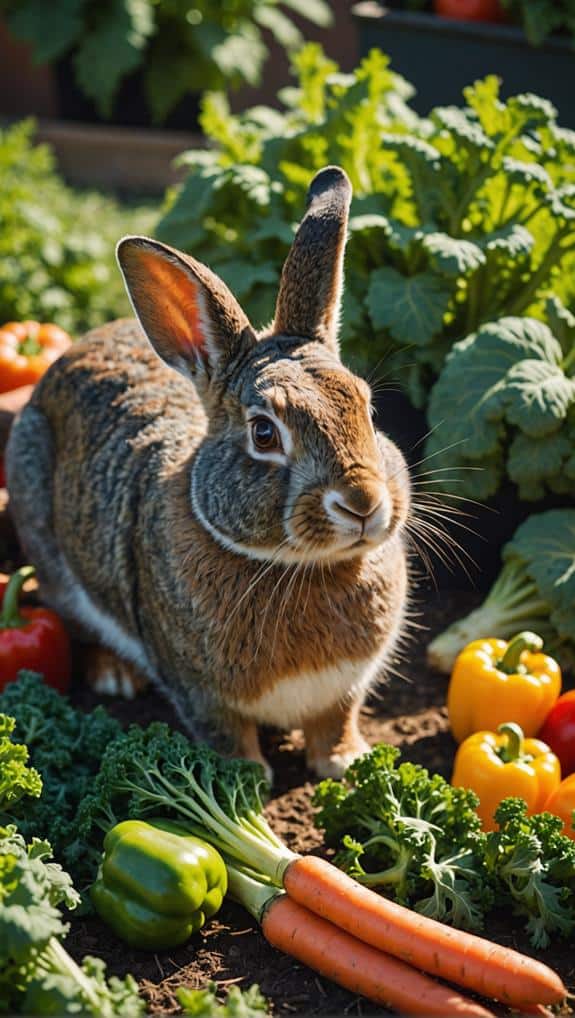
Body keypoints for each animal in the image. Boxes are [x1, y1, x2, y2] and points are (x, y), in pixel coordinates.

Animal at [6, 165, 410, 779]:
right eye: (264, 433)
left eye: (366, 408)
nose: (362, 502)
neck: (296, 565)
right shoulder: (200, 693)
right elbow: (225, 734)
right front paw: (245, 779)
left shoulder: (345, 689)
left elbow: (335, 721)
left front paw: (345, 763)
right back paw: (115, 676)